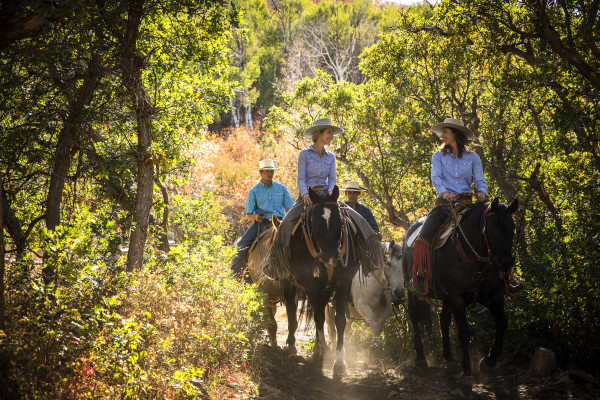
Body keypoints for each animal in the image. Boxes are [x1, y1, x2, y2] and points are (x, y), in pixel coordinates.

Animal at [266, 184, 382, 376]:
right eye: (313, 221)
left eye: (339, 220)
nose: (331, 257)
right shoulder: (312, 286)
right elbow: (318, 318)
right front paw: (320, 355)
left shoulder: (343, 284)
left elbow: (339, 321)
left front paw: (340, 362)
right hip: (290, 284)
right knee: (292, 311)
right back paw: (293, 346)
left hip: (326, 289)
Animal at [400, 198, 516, 376]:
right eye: (491, 226)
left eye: (513, 227)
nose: (506, 262)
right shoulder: (457, 298)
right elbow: (464, 332)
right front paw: (467, 366)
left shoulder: (493, 296)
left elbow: (502, 323)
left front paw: (489, 360)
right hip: (413, 292)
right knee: (414, 318)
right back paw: (421, 358)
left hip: (446, 298)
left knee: (443, 320)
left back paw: (450, 359)